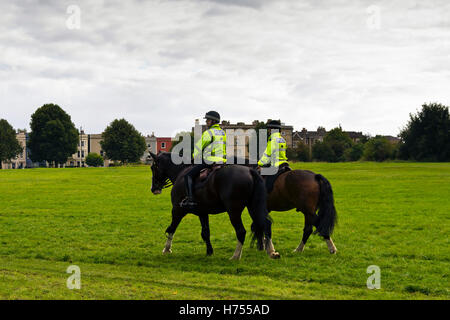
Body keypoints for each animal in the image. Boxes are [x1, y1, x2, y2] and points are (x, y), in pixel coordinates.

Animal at [149, 152, 280, 260]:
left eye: (153, 167)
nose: (153, 188)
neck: (181, 172)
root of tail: (250, 171)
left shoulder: (177, 210)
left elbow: (171, 228)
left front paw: (166, 249)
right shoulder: (202, 213)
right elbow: (205, 232)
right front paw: (209, 251)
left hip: (234, 211)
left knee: (241, 231)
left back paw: (236, 256)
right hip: (253, 207)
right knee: (266, 224)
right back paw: (272, 252)